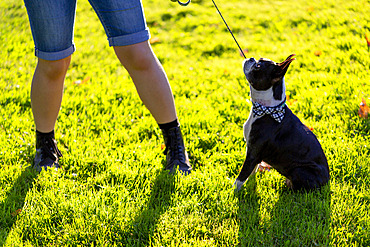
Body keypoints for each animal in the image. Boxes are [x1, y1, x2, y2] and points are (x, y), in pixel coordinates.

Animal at [234, 54, 330, 191]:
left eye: (258, 66)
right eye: (259, 60)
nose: (251, 58)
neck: (267, 109)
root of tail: (327, 180)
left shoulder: (253, 153)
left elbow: (241, 177)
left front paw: (232, 193)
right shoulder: (252, 151)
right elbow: (251, 171)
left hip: (299, 170)